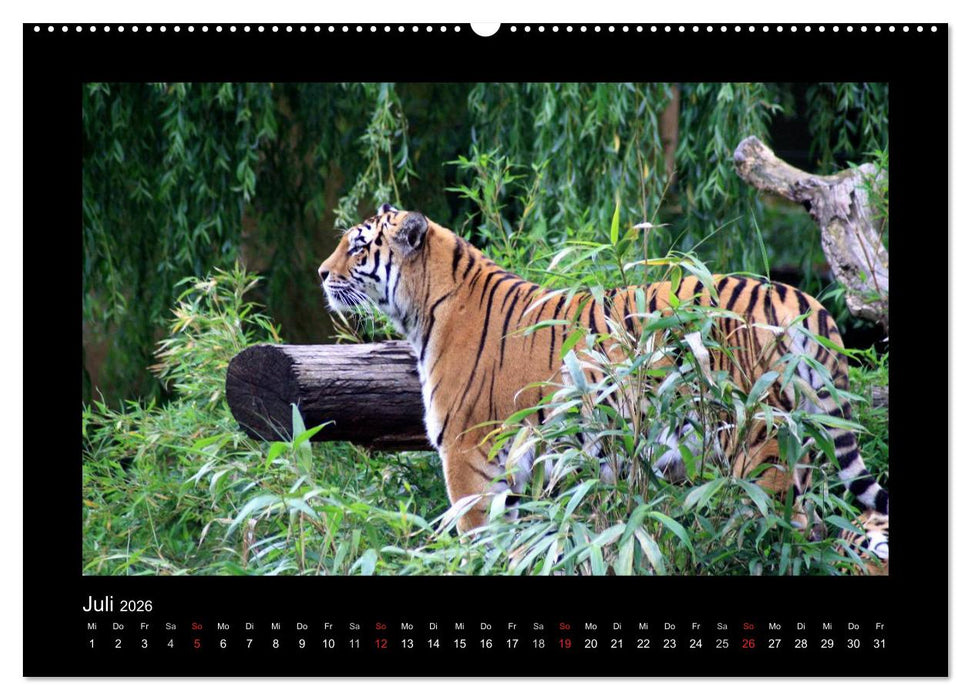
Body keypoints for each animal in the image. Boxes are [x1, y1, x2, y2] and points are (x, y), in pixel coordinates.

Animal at [318, 205, 889, 565]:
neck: (421, 309)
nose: (322, 273)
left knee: (786, 530)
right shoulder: (517, 470)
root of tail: (801, 298)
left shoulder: (467, 454)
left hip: (760, 447)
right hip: (803, 447)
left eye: (358, 247)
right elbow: (521, 542)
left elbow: (475, 539)